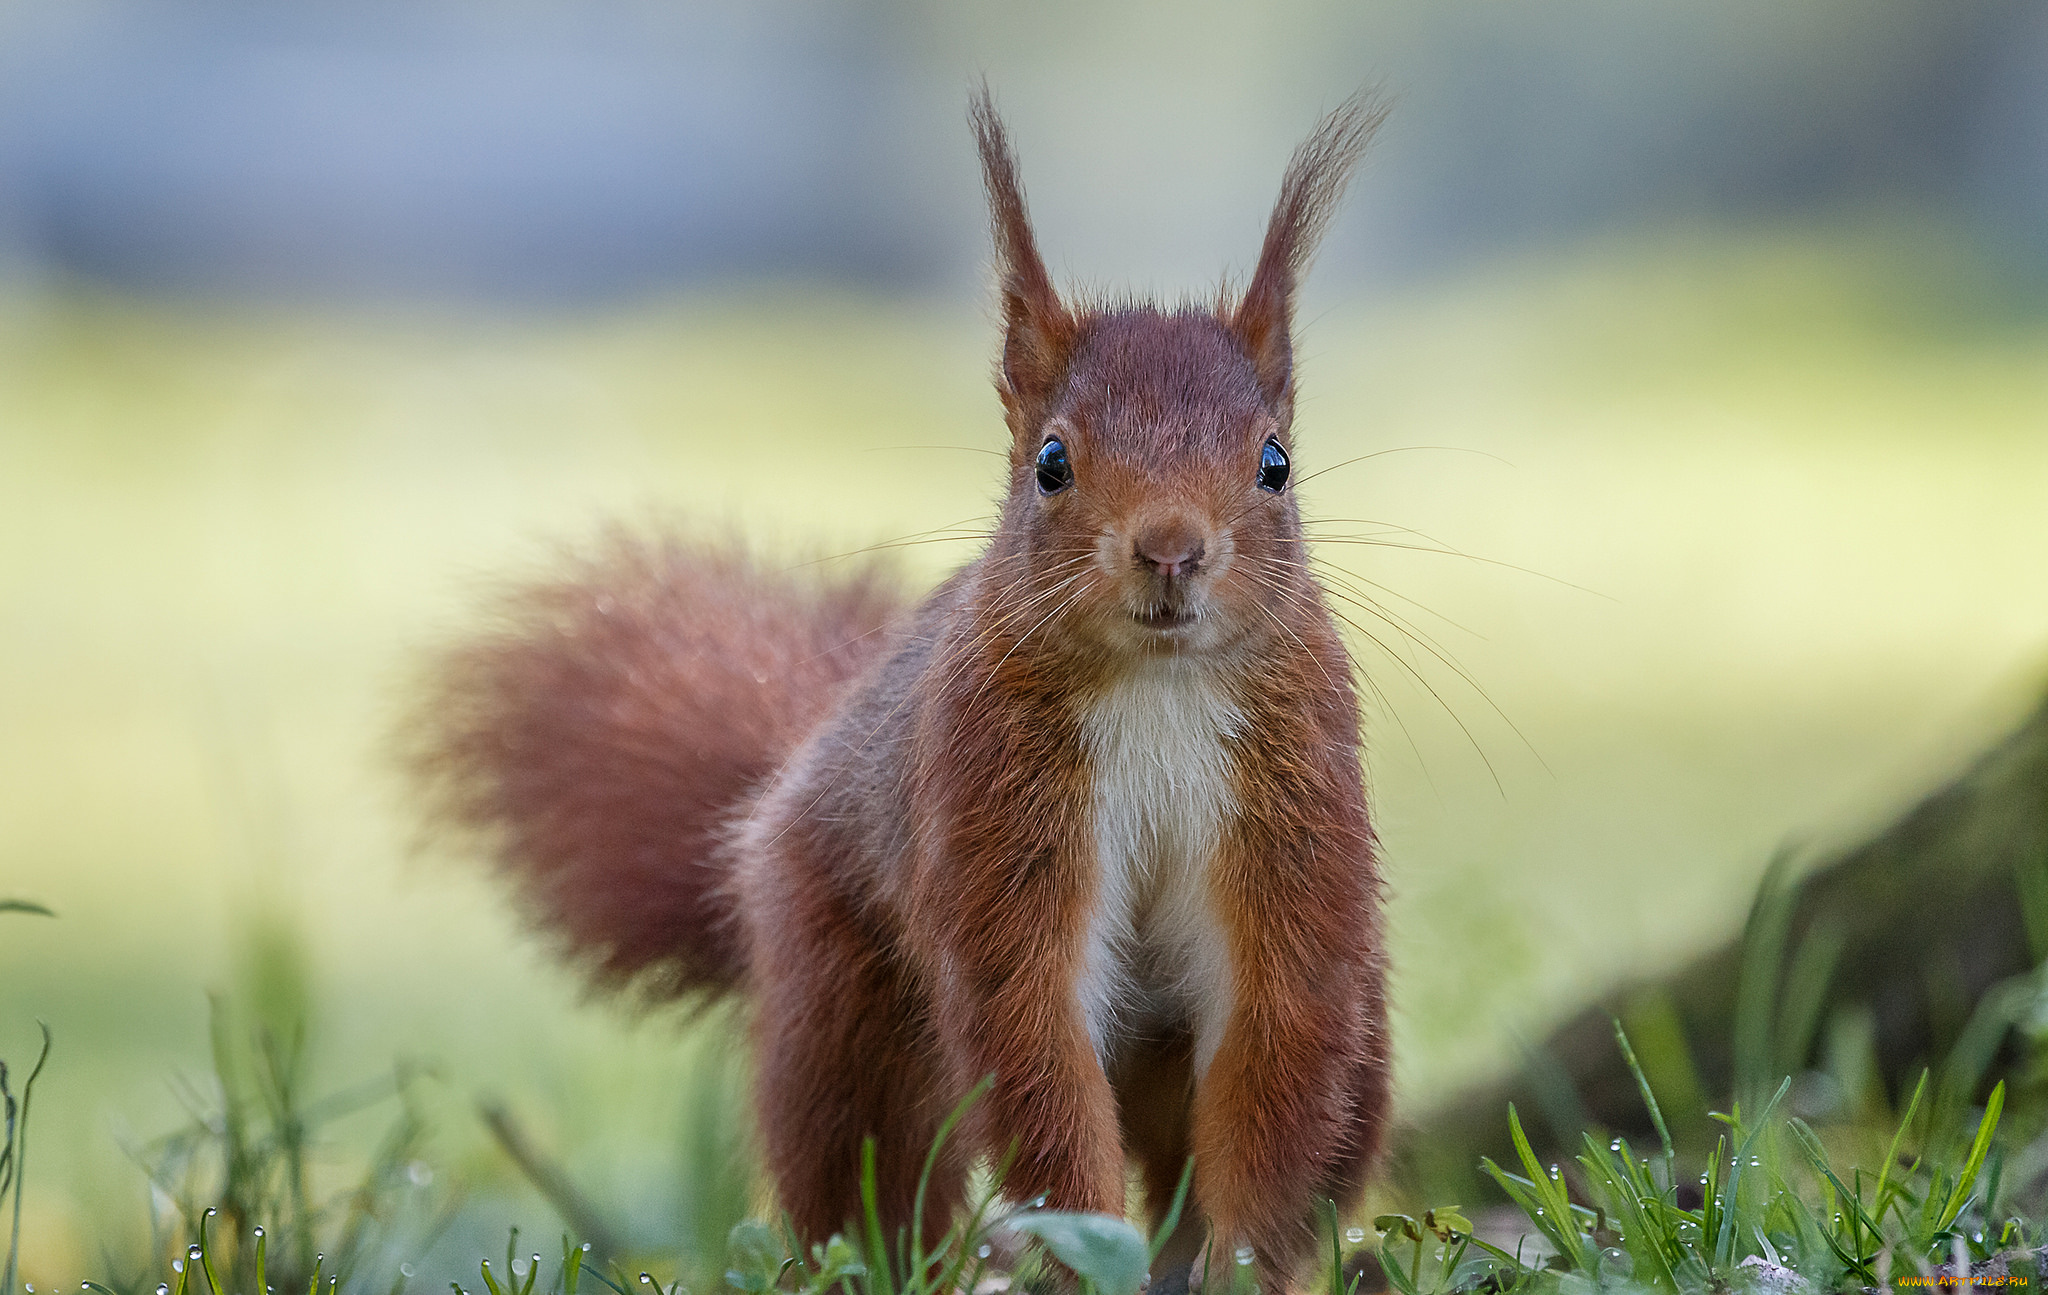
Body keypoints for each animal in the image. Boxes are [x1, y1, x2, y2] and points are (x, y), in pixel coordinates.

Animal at [423, 91, 1400, 1295]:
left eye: (1274, 462)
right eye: (1051, 462)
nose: (1170, 549)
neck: (1157, 687)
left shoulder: (1292, 816)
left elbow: (1276, 1038)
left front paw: (1239, 1263)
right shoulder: (989, 810)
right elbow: (1030, 1037)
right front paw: (1085, 1250)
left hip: (1355, 1042)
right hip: (843, 998)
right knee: (866, 1164)